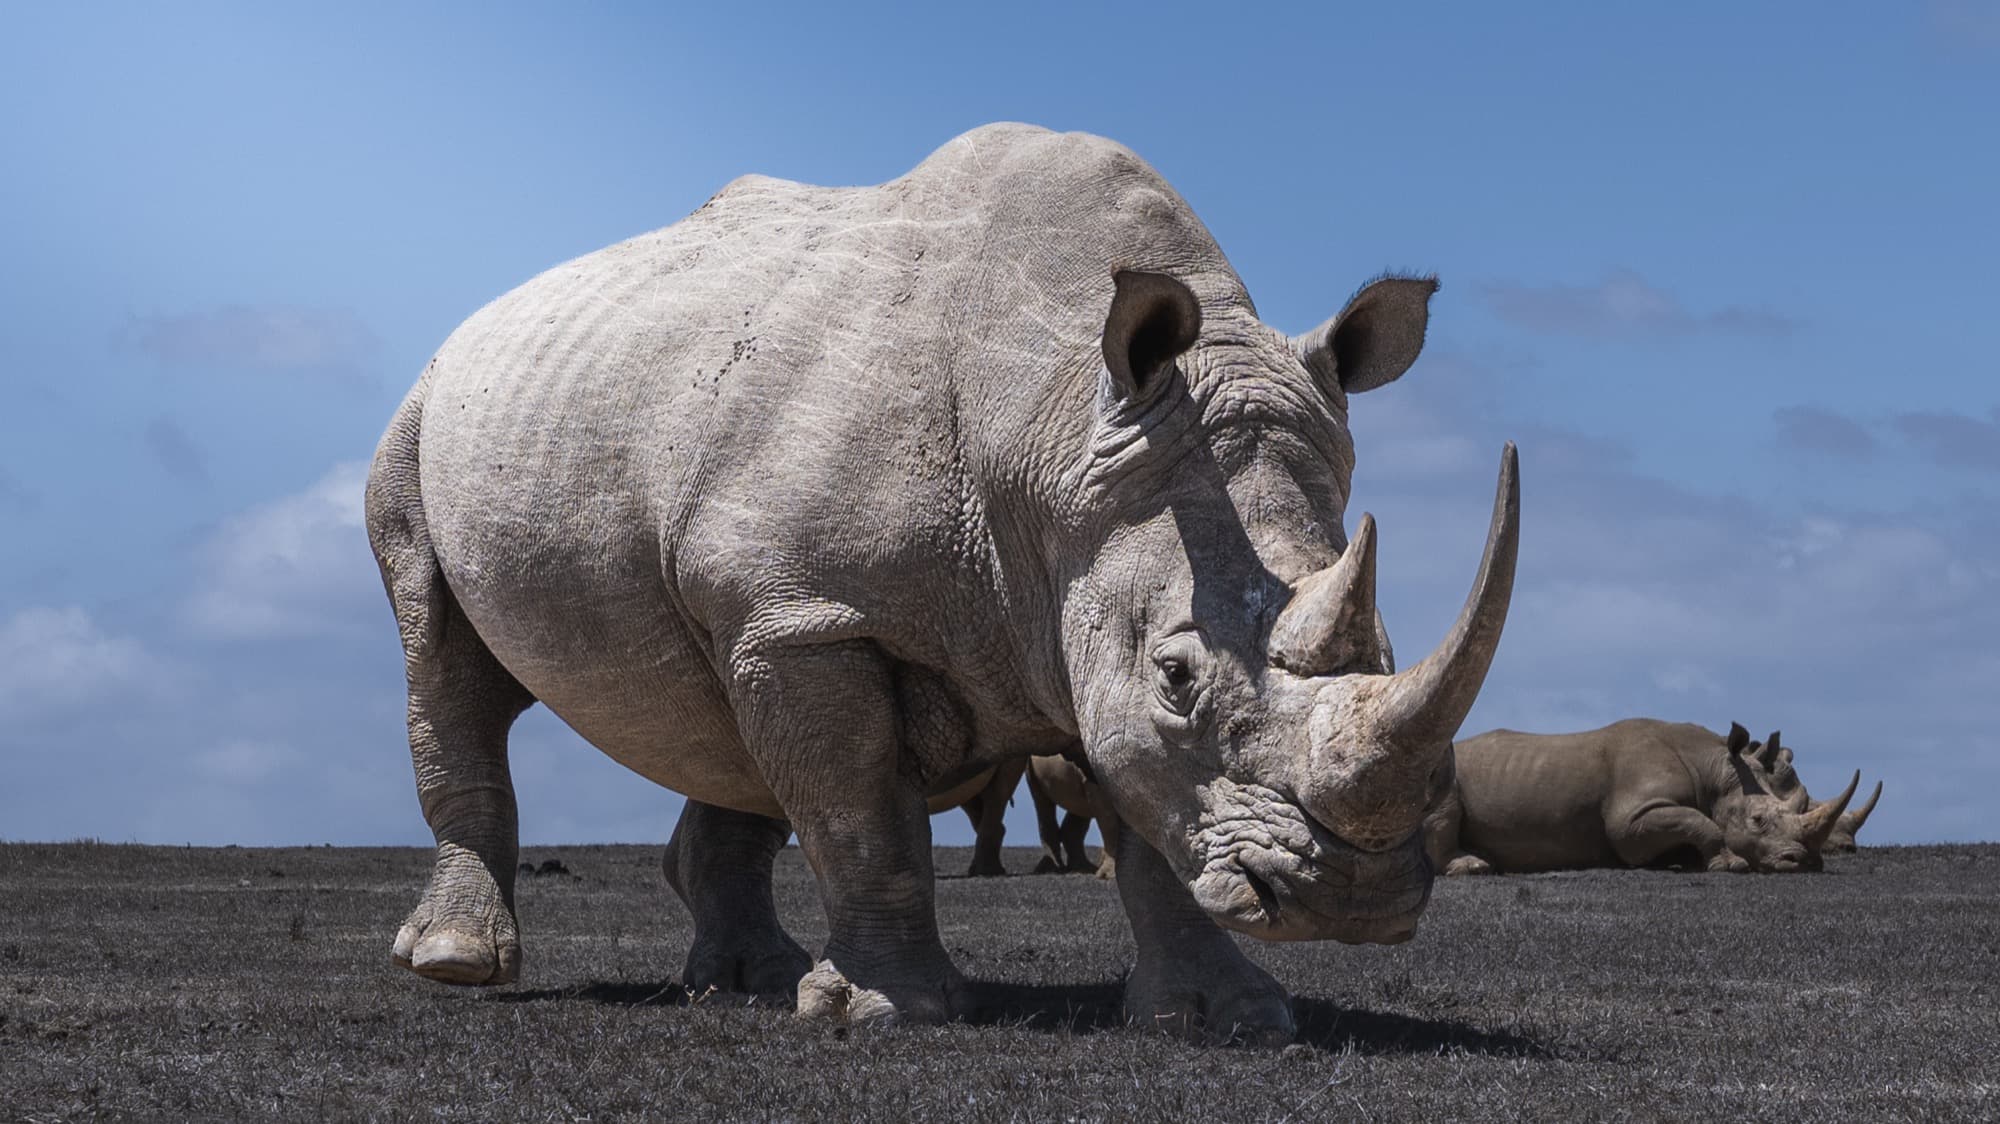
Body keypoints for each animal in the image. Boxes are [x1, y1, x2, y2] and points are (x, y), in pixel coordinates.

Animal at [365, 122, 1520, 1044]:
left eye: (1386, 650)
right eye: (1177, 675)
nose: (1354, 898)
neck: (1057, 436)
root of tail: (479, 319)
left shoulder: (1057, 597)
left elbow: (1140, 805)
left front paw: (1227, 1018)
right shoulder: (813, 613)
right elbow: (859, 811)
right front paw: (888, 1013)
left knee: (718, 705)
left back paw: (747, 983)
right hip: (421, 420)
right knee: (440, 652)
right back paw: (459, 964)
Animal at [1425, 720, 1858, 875]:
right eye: (1758, 820)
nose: (1802, 862)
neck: (1714, 771)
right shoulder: (1631, 818)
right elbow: (1700, 821)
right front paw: (1730, 864)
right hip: (1434, 773)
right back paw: (1474, 867)